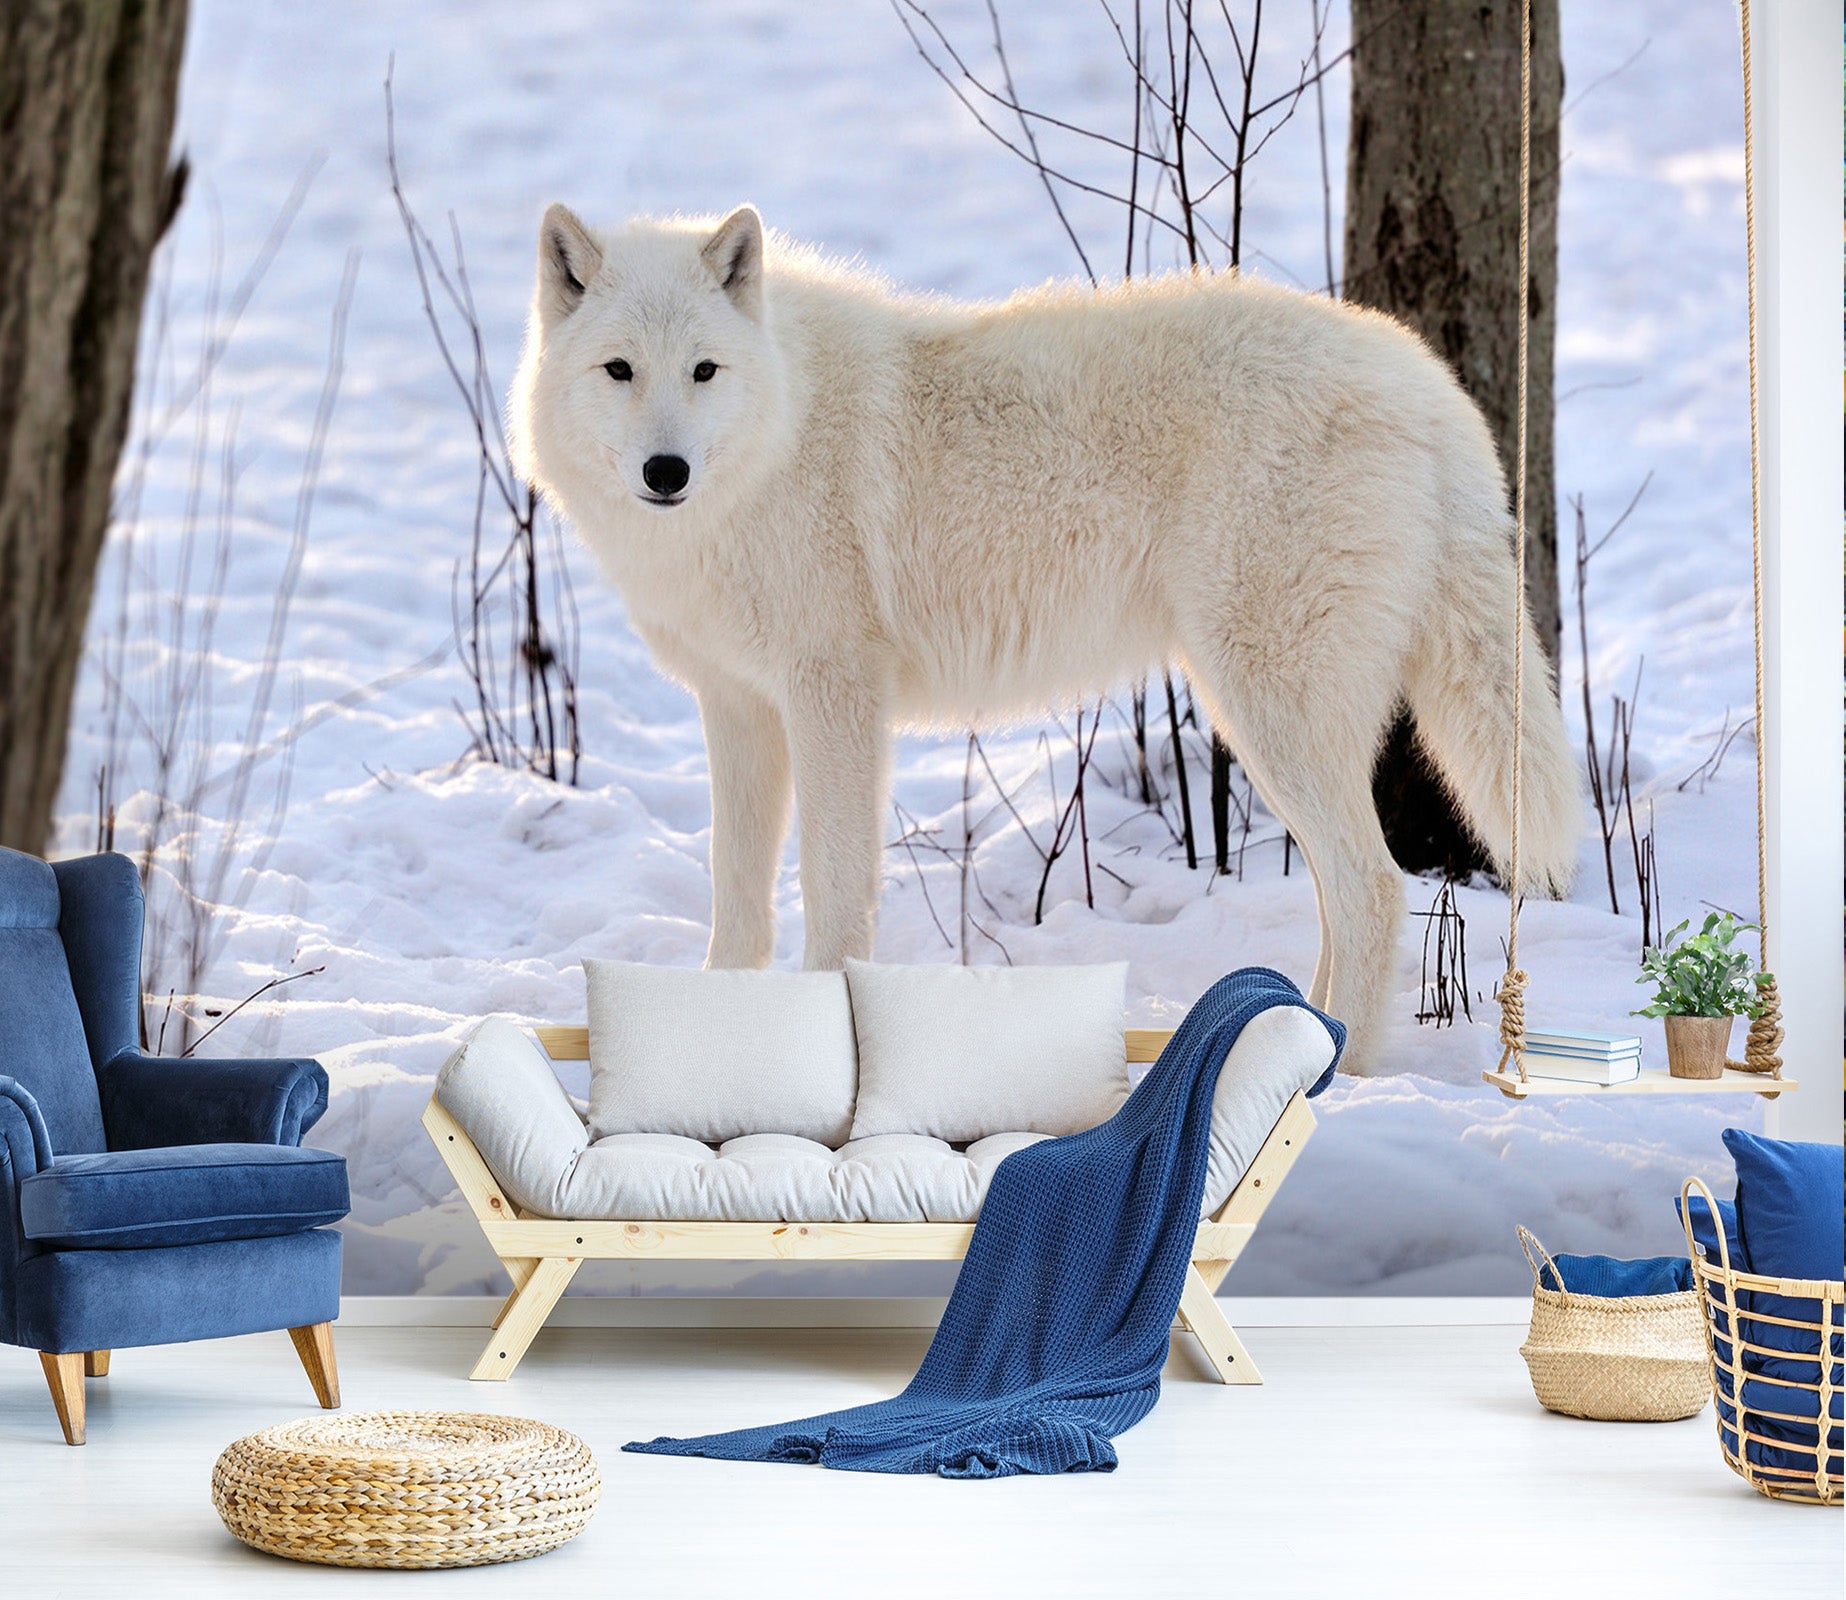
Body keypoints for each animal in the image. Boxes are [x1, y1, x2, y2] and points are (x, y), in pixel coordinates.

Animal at [510, 203, 1579, 1072]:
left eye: (703, 370)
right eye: (619, 370)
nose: (666, 471)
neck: (778, 434)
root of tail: (1427, 385)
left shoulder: (835, 697)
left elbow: (835, 892)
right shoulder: (738, 708)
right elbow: (736, 900)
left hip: (1264, 708)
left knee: (1374, 888)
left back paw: (1336, 1072)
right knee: (1352, 894)